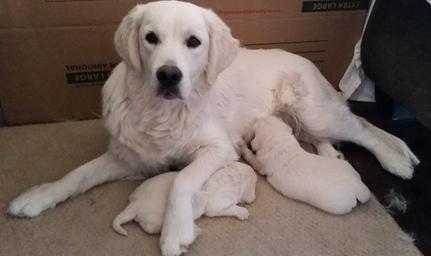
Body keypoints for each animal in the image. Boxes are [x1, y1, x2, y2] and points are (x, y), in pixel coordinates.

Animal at [113, 162, 258, 236]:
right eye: (254, 184)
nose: (253, 198)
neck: (228, 176)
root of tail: (136, 204)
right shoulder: (216, 205)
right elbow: (230, 208)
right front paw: (243, 212)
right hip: (156, 220)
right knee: (151, 228)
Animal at [243, 116, 372, 214]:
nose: (259, 117)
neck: (280, 141)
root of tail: (358, 187)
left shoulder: (261, 164)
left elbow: (251, 158)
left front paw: (243, 147)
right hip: (347, 167)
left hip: (338, 205)